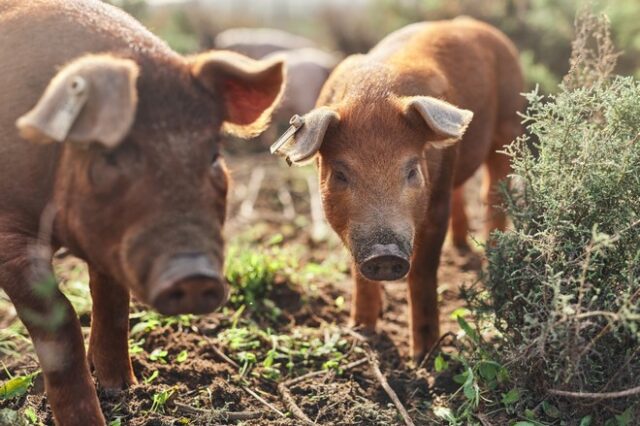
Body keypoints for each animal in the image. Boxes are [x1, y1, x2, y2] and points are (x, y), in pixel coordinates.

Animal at [0, 1, 284, 424]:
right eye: (110, 156)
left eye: (214, 156)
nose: (194, 274)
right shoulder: (7, 233)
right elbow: (60, 320)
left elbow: (113, 299)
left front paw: (122, 388)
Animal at [272, 19, 524, 360]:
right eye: (340, 174)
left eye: (412, 171)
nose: (385, 253)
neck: (373, 92)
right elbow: (358, 275)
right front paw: (361, 330)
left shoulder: (435, 206)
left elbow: (423, 273)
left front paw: (425, 357)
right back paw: (460, 247)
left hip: (509, 124)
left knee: (492, 195)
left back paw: (491, 264)